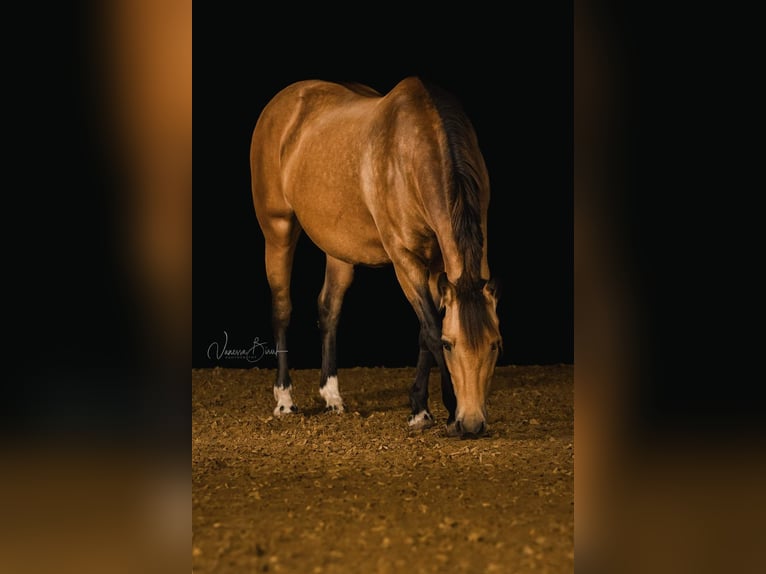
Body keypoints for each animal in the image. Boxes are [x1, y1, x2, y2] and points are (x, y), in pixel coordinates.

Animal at [252, 75, 504, 436]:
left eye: (495, 344)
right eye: (450, 344)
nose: (471, 424)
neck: (411, 153)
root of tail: (284, 100)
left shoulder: (436, 265)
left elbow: (423, 331)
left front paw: (420, 406)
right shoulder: (405, 259)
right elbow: (431, 329)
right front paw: (439, 409)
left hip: (338, 248)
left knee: (329, 309)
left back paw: (332, 396)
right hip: (278, 229)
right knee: (282, 309)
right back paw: (285, 399)